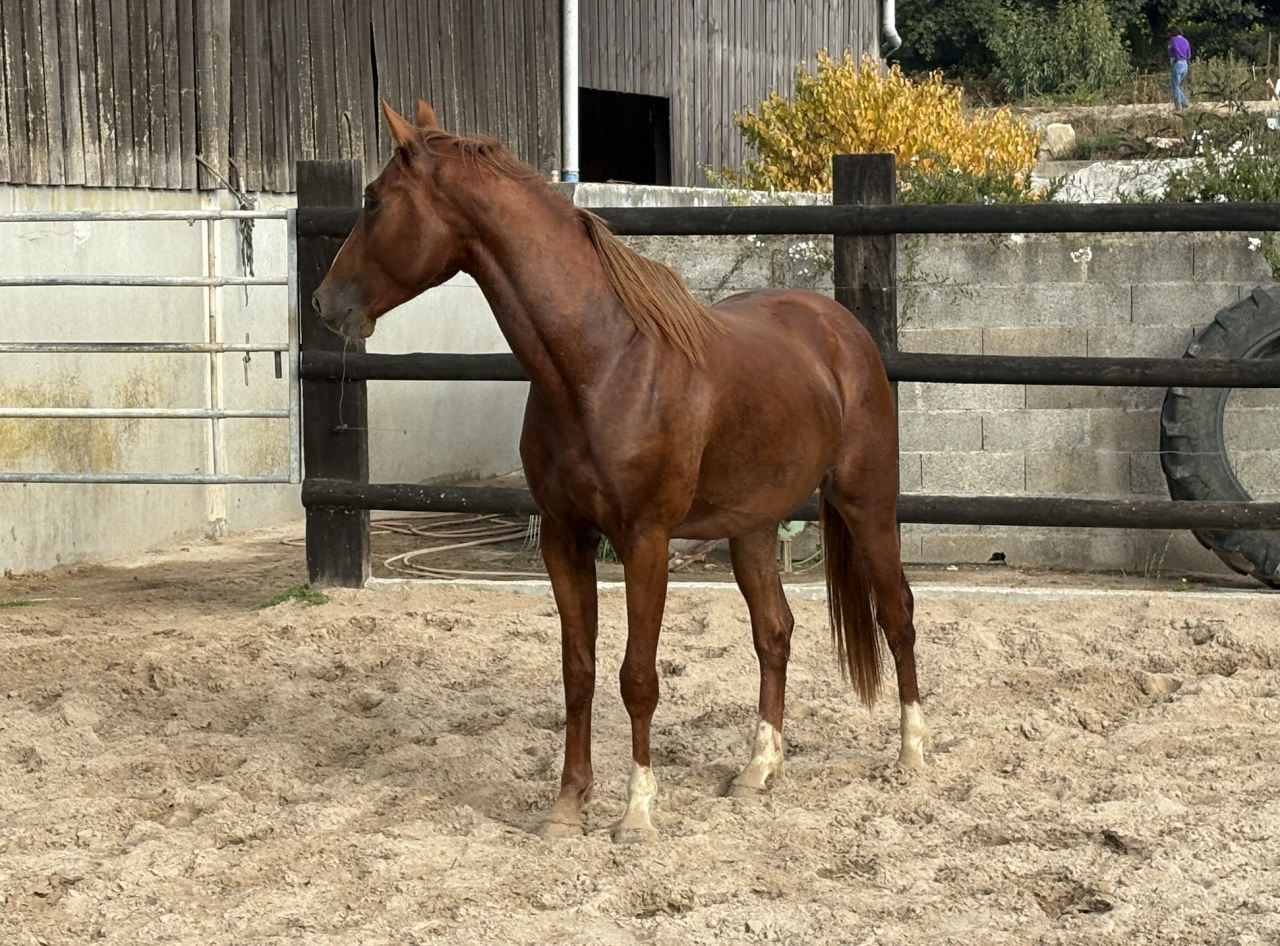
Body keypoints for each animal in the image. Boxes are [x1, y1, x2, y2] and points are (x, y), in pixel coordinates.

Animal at [313, 100, 930, 843]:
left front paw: (637, 812)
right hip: (752, 525)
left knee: (897, 613)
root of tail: (841, 327)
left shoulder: (644, 542)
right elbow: (578, 669)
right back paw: (758, 770)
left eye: (374, 200)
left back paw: (912, 753)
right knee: (774, 632)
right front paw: (567, 804)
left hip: (867, 500)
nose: (324, 302)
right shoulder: (564, 537)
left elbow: (638, 675)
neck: (602, 363)